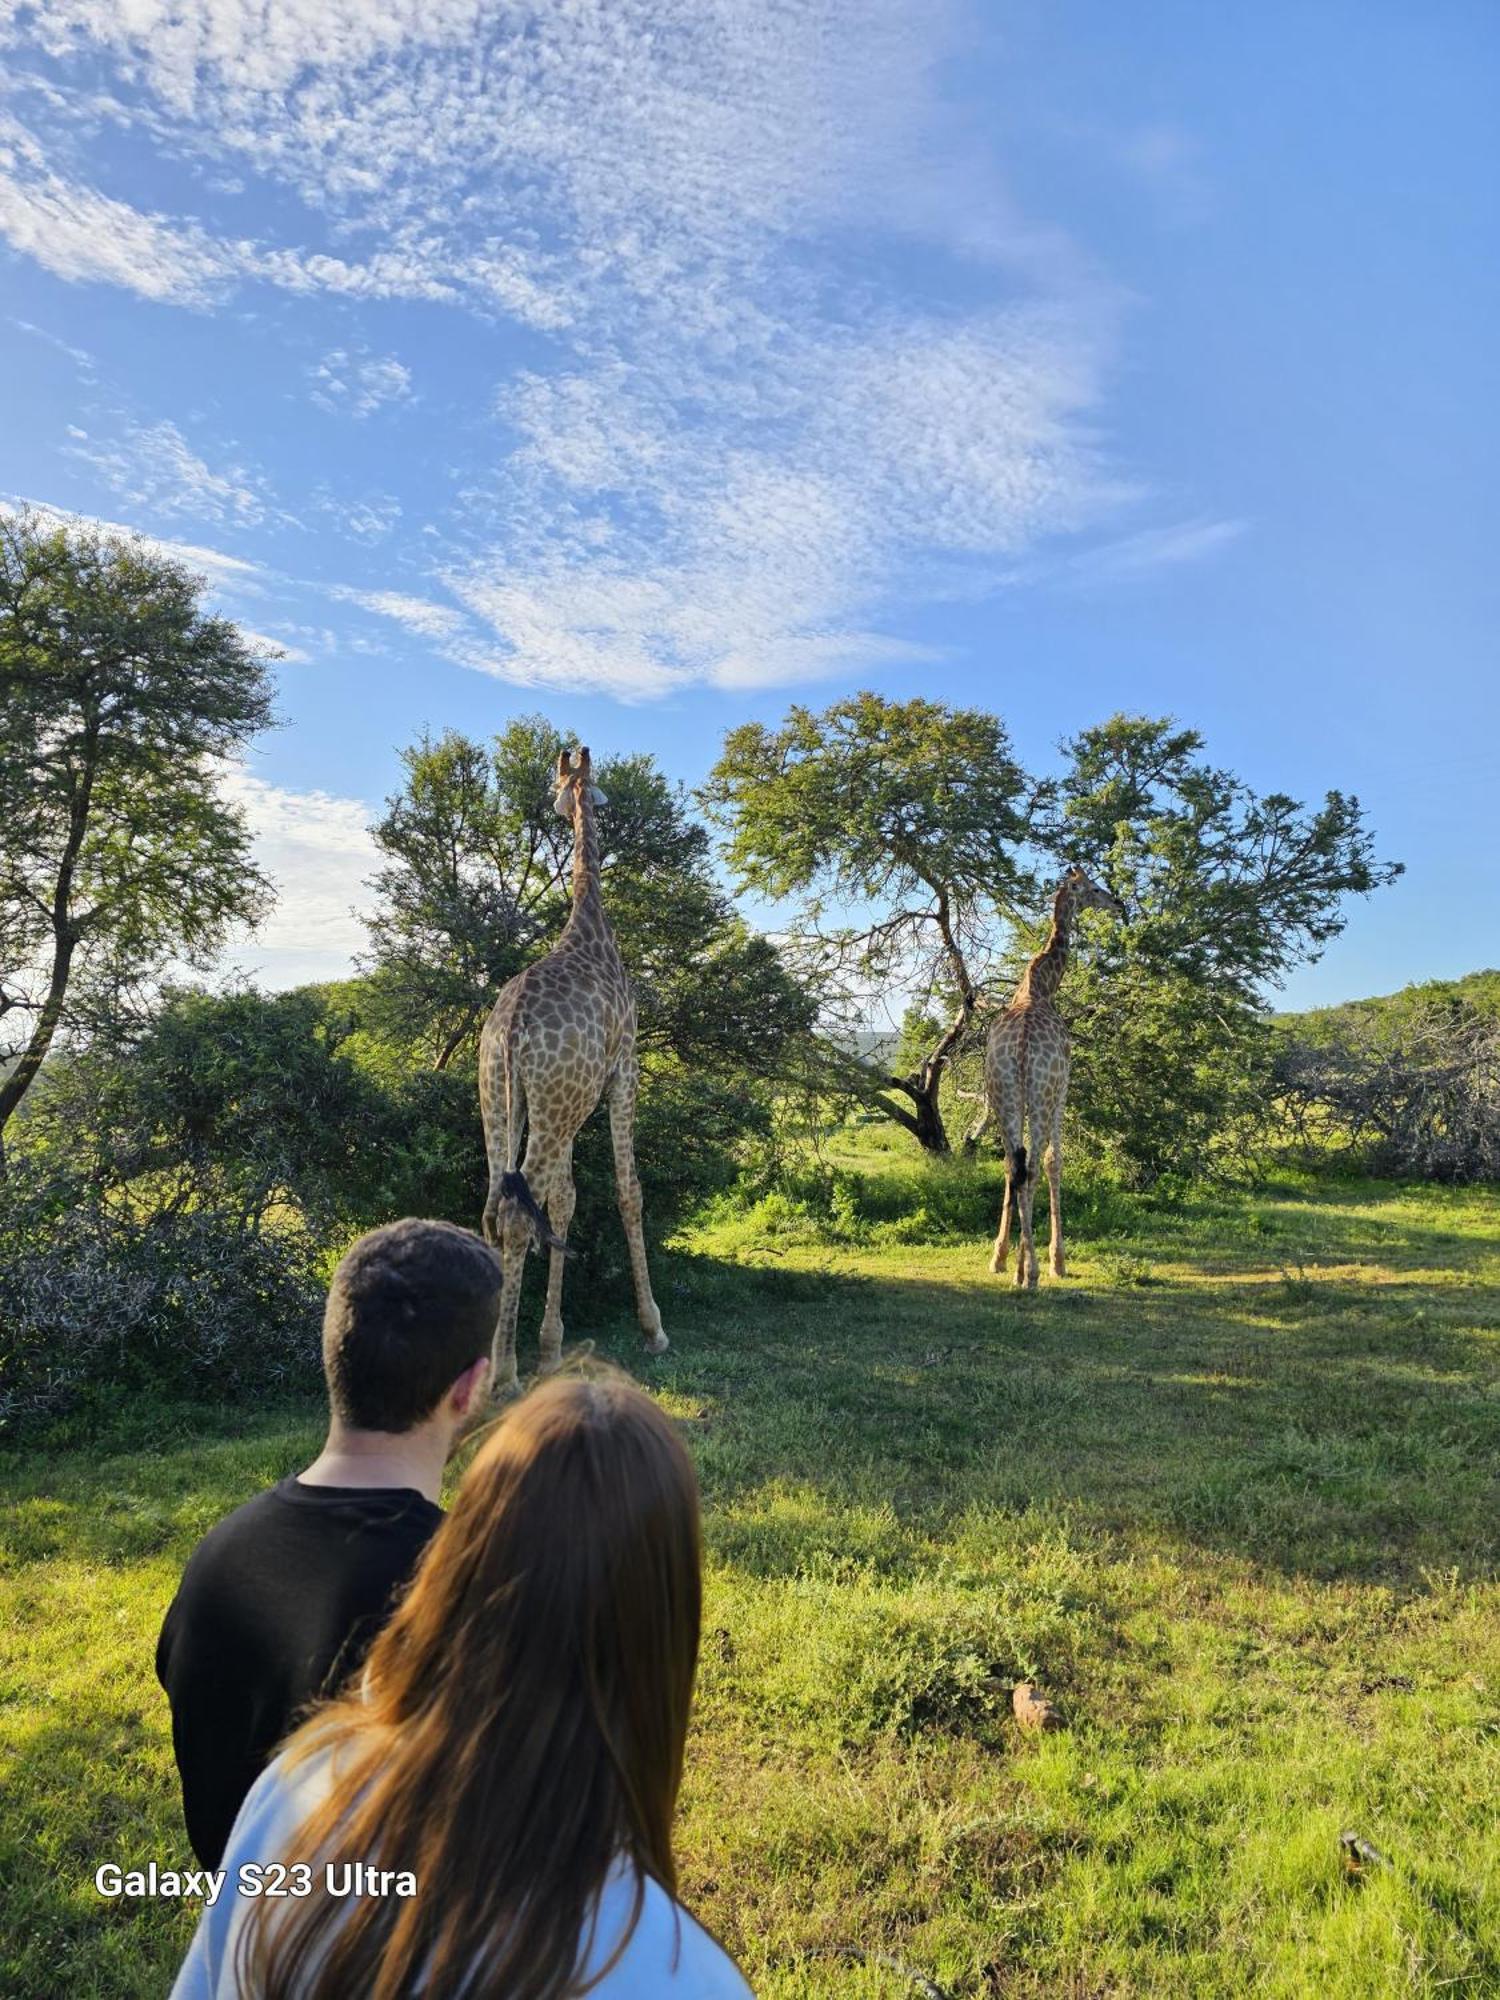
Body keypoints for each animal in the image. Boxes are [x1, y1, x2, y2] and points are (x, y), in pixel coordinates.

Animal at [482, 748, 668, 1392]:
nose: (562, 806)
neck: (590, 928)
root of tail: (511, 1029)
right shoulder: (625, 1070)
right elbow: (628, 1191)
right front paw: (652, 1327)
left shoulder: (570, 1104)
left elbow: (565, 1200)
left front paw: (551, 1343)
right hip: (552, 1106)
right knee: (516, 1215)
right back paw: (503, 1374)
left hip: (502, 1103)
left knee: (495, 1208)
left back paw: (496, 1361)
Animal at [992, 868, 1120, 1288]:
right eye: (1093, 888)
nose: (1118, 903)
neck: (1041, 987)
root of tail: (1021, 1049)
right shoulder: (1063, 1090)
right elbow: (1053, 1162)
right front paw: (1056, 1260)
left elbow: (1012, 1169)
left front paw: (1001, 1257)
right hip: (1042, 1097)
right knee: (1032, 1166)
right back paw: (1031, 1272)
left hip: (1004, 1096)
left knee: (1014, 1166)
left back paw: (1015, 1264)